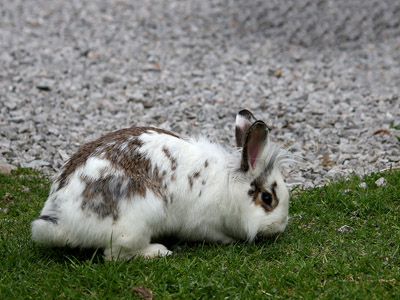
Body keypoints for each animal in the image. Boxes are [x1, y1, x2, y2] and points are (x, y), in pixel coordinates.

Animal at [29, 110, 290, 260]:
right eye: (268, 198)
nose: (281, 227)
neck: (228, 184)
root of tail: (62, 221)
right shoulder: (203, 224)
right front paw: (230, 241)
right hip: (135, 225)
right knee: (114, 255)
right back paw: (158, 251)